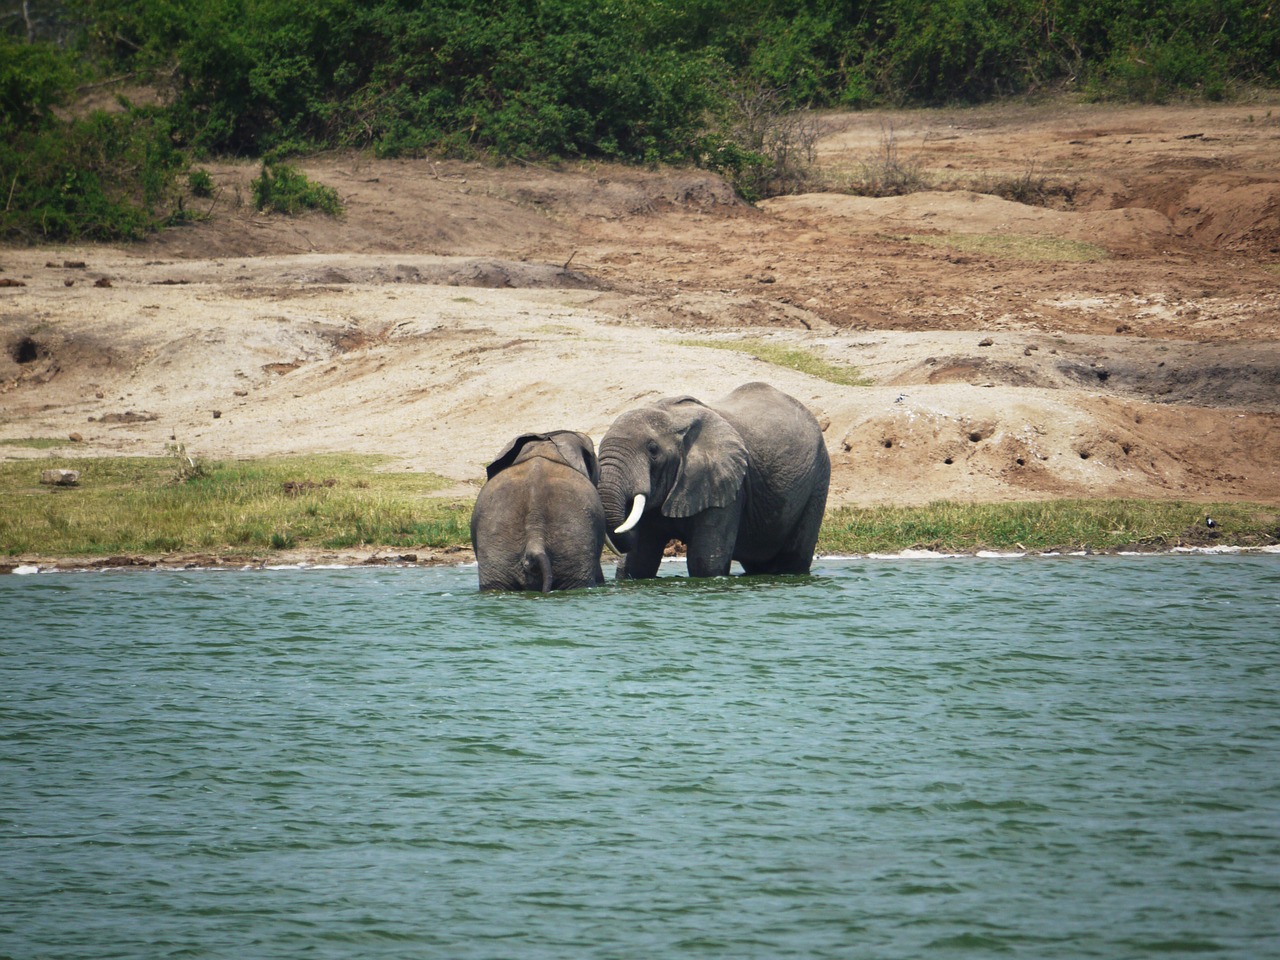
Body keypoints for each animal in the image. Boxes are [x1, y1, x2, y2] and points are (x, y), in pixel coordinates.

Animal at [596, 381, 829, 578]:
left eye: (653, 450)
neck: (672, 418)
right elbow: (638, 562)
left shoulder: (727, 485)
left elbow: (704, 563)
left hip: (818, 478)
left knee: (793, 559)